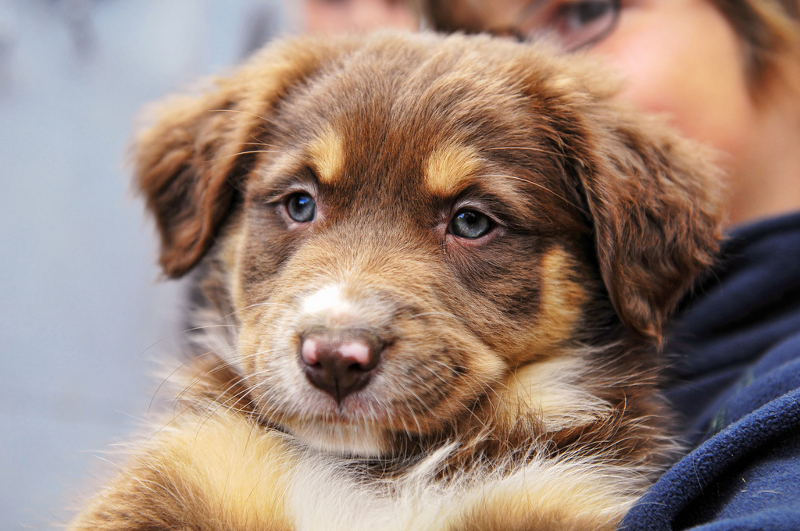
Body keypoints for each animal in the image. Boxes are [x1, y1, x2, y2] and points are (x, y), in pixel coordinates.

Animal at [69, 32, 724, 531]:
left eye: (471, 221)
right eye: (300, 204)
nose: (335, 359)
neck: (380, 473)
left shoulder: (559, 492)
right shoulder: (193, 469)